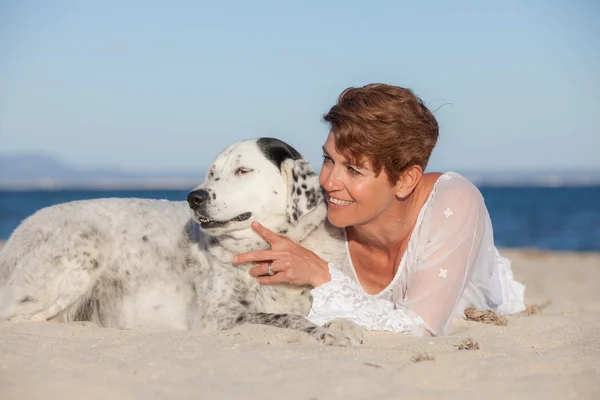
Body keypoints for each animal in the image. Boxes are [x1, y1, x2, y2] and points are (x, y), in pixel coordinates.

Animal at [0, 139, 364, 346]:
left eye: (243, 170)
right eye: (212, 172)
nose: (194, 197)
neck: (267, 247)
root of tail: (18, 230)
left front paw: (342, 323)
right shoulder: (219, 318)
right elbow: (290, 319)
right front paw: (328, 332)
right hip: (85, 246)